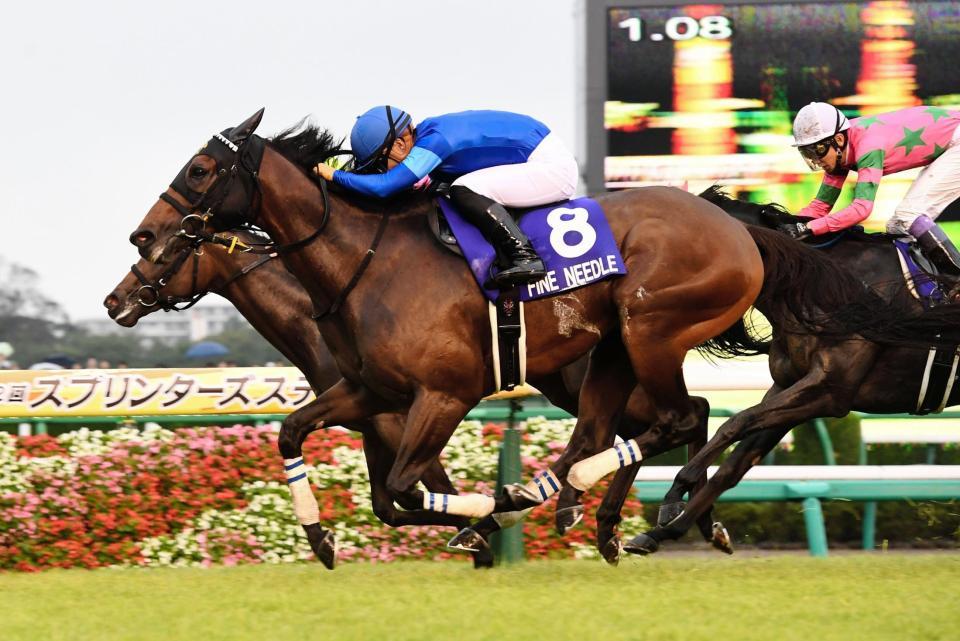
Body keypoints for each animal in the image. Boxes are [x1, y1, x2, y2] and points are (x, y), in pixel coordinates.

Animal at [124, 109, 767, 567]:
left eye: (199, 170)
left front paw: (482, 520)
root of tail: (732, 224)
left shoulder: (441, 397)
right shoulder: (370, 393)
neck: (364, 263)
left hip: (650, 330)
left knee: (680, 417)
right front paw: (320, 537)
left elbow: (406, 488)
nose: (142, 238)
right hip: (610, 350)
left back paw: (607, 507)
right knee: (610, 429)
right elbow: (297, 436)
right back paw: (610, 516)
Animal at [622, 187, 960, 555]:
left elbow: (735, 423)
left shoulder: (829, 390)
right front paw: (667, 532)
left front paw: (675, 495)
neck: (821, 285)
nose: (634, 305)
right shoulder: (789, 385)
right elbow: (736, 463)